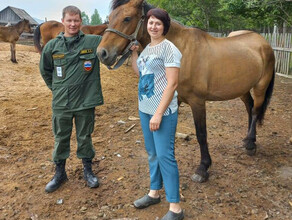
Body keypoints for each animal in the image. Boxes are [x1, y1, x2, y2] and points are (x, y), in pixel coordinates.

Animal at [96, 0, 276, 182]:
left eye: (127, 18)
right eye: (110, 18)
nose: (102, 53)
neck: (180, 52)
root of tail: (263, 42)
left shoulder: (198, 102)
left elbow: (201, 134)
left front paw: (203, 168)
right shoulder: (174, 99)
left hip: (260, 86)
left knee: (255, 111)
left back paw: (250, 144)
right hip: (242, 88)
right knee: (249, 107)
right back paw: (249, 140)